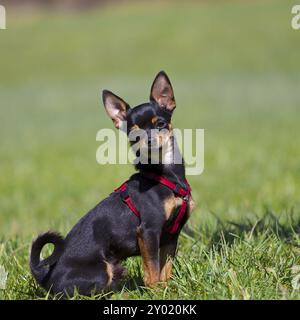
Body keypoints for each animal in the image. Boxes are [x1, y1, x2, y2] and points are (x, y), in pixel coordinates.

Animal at [29, 71, 195, 296]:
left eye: (160, 123)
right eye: (134, 134)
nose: (149, 140)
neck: (164, 175)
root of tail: (44, 276)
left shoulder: (170, 237)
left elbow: (164, 269)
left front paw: (166, 289)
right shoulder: (149, 232)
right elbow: (152, 270)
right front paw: (155, 291)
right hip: (102, 270)